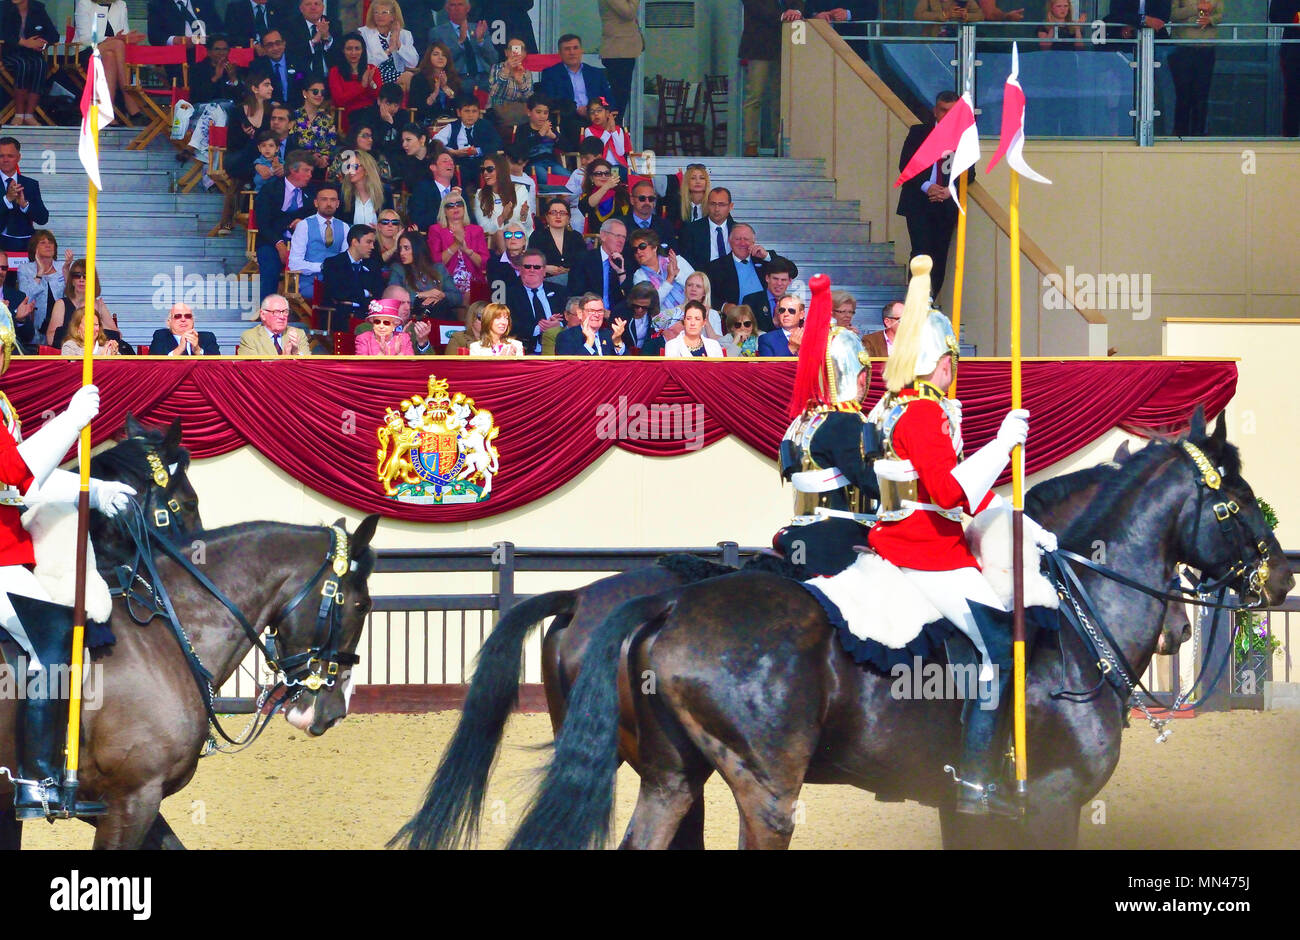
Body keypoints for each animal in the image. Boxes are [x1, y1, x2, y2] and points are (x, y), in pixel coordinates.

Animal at [501, 416, 1284, 847]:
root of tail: (667, 605)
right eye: (1237, 503)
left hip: (670, 778)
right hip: (766, 792)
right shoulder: (1053, 802)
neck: (1075, 615)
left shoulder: (967, 813)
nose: (1279, 579)